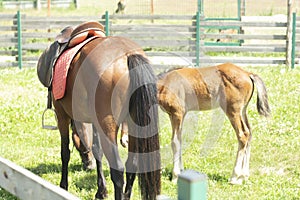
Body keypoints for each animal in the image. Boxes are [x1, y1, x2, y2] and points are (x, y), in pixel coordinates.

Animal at [37, 23, 162, 198]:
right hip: (134, 124)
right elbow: (97, 150)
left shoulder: (62, 115)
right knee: (132, 164)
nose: (87, 165)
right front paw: (101, 190)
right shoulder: (94, 120)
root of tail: (128, 54)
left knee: (118, 170)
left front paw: (63, 187)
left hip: (107, 126)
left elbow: (65, 152)